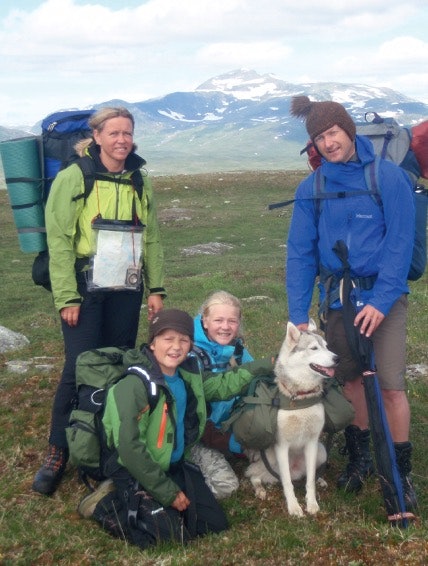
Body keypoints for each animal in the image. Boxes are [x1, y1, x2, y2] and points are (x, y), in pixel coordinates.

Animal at [244, 322, 338, 516]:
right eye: (314, 348)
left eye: (326, 346)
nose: (337, 358)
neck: (300, 398)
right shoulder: (281, 446)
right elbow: (287, 483)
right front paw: (294, 507)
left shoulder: (312, 443)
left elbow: (309, 481)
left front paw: (311, 503)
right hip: (270, 459)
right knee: (254, 475)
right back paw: (260, 490)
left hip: (321, 451)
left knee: (310, 474)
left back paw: (320, 480)